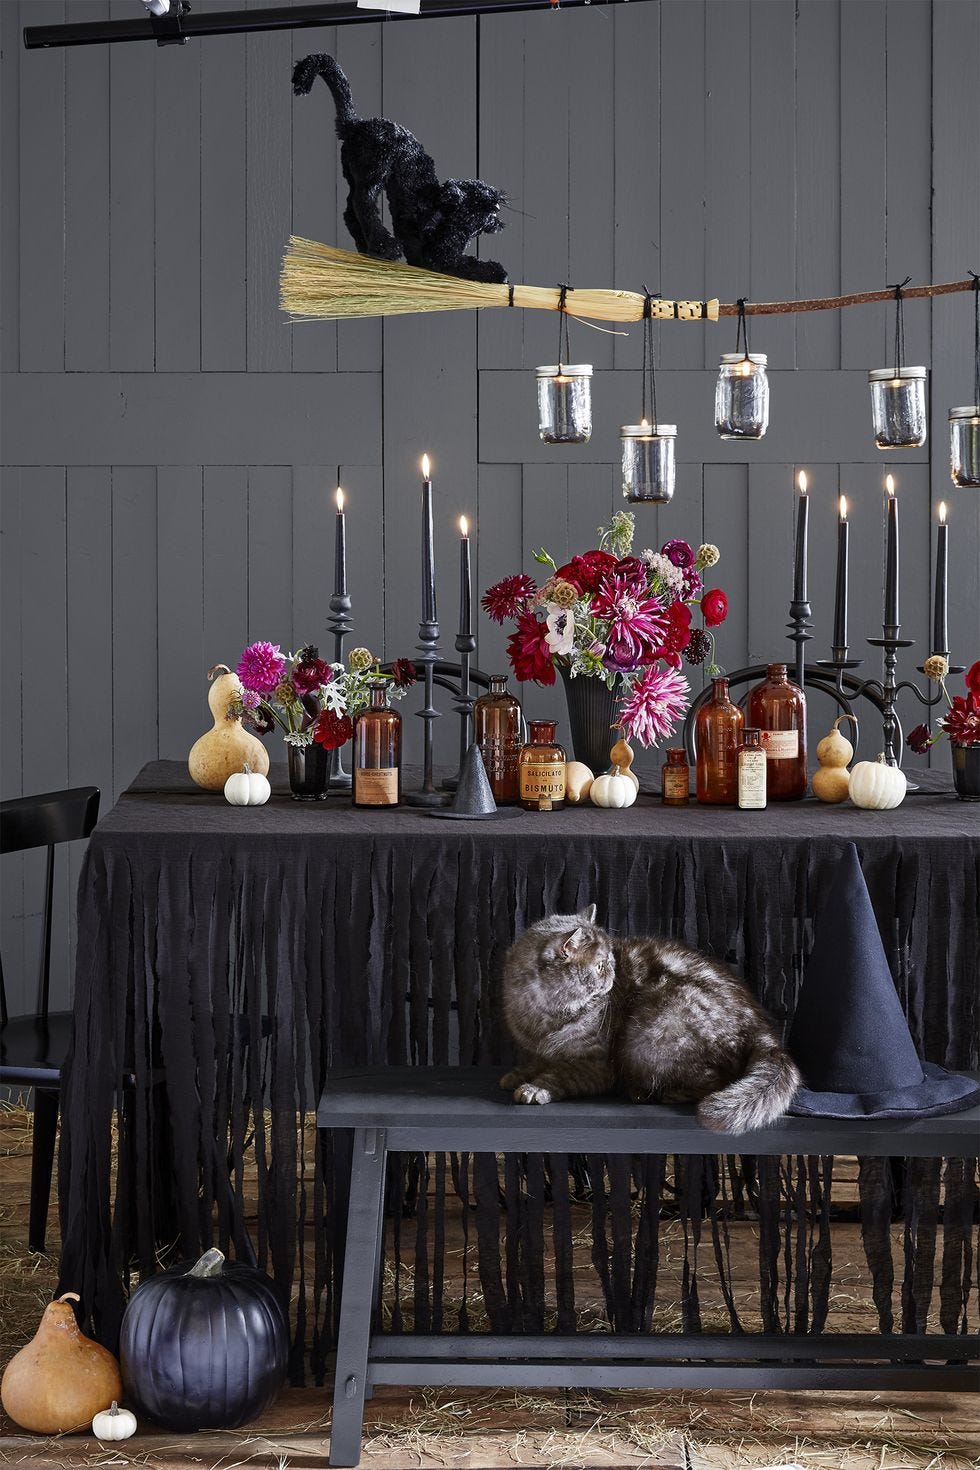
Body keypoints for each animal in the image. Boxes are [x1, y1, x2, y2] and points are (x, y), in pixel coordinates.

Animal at [502, 905, 799, 1134]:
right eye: (600, 965)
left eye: (609, 961)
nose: (613, 975)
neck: (544, 1014)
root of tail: (761, 1027)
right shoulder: (536, 1049)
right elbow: (537, 1062)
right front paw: (517, 1074)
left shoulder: (596, 1065)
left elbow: (560, 1074)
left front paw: (535, 1088)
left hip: (650, 1035)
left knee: (715, 1079)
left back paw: (659, 1093)